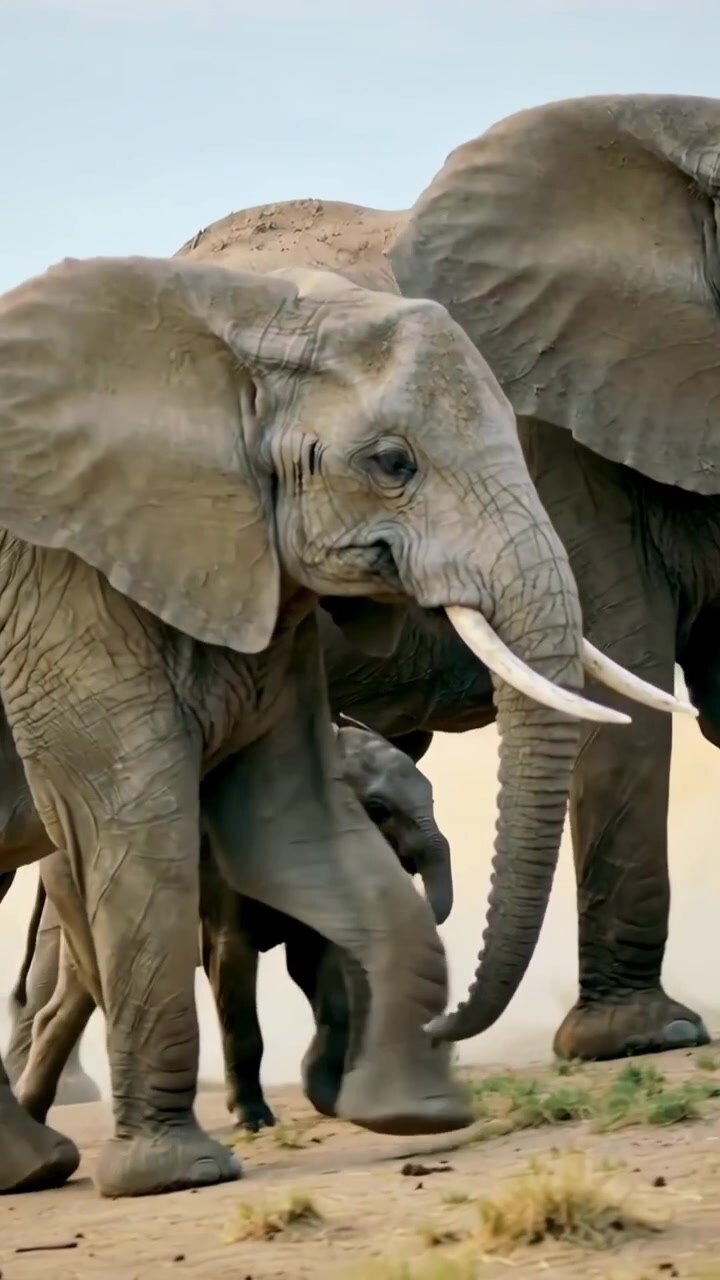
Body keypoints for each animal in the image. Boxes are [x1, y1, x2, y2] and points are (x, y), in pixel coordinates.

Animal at [6, 719, 453, 1132]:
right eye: (378, 810)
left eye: (432, 796)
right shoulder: (222, 869)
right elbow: (230, 959)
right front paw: (253, 1121)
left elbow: (315, 966)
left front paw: (329, 1099)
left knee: (73, 994)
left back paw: (33, 1113)